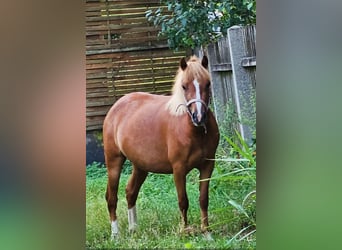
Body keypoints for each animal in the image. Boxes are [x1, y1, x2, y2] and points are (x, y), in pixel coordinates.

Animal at [103, 55, 219, 239]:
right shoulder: (178, 169)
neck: (194, 131)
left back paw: (133, 228)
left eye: (207, 83)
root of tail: (117, 106)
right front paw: (184, 232)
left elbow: (203, 199)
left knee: (130, 192)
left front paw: (207, 233)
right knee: (111, 197)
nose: (199, 117)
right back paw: (116, 235)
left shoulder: (208, 165)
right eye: (184, 86)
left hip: (140, 166)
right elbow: (183, 201)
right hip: (114, 162)